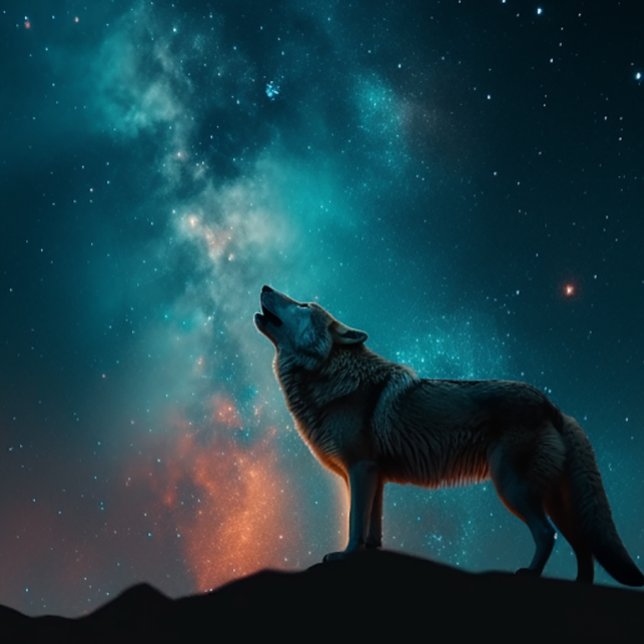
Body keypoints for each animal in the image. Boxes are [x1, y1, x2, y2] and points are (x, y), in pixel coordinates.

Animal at [254, 285, 643, 585]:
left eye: (303, 305)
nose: (265, 286)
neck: (330, 373)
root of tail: (554, 406)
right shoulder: (375, 477)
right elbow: (371, 527)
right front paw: (369, 551)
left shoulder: (361, 470)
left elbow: (353, 522)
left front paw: (344, 556)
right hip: (554, 499)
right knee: (583, 546)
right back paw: (579, 584)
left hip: (514, 488)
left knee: (548, 535)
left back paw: (529, 574)